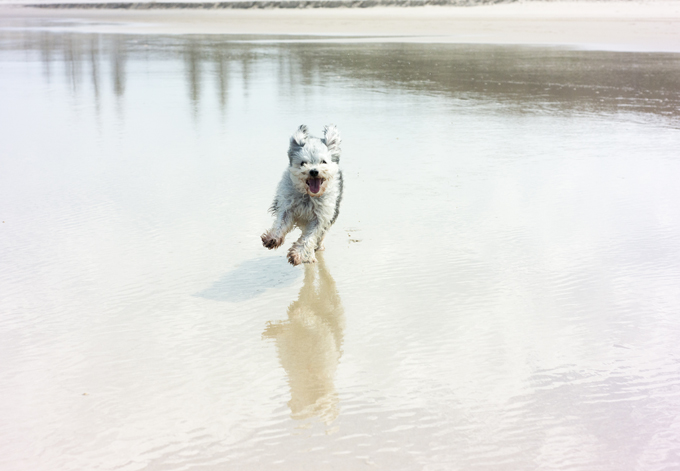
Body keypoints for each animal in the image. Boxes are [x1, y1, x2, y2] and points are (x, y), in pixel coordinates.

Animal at [262, 125, 342, 266]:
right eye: (303, 163)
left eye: (323, 162)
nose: (314, 171)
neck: (309, 195)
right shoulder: (287, 207)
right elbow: (281, 223)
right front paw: (273, 238)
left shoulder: (320, 218)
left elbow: (309, 237)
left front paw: (297, 254)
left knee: (318, 238)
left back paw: (312, 254)